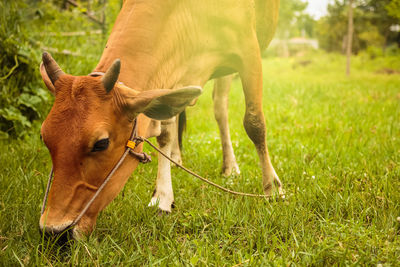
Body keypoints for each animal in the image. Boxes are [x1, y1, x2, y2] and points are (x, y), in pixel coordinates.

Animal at [38, 0, 282, 239]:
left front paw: (272, 188)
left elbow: (254, 123)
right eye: (44, 138)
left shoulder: (248, 52)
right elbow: (165, 134)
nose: (54, 231)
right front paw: (163, 197)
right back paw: (176, 157)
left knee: (220, 107)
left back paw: (230, 166)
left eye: (101, 143)